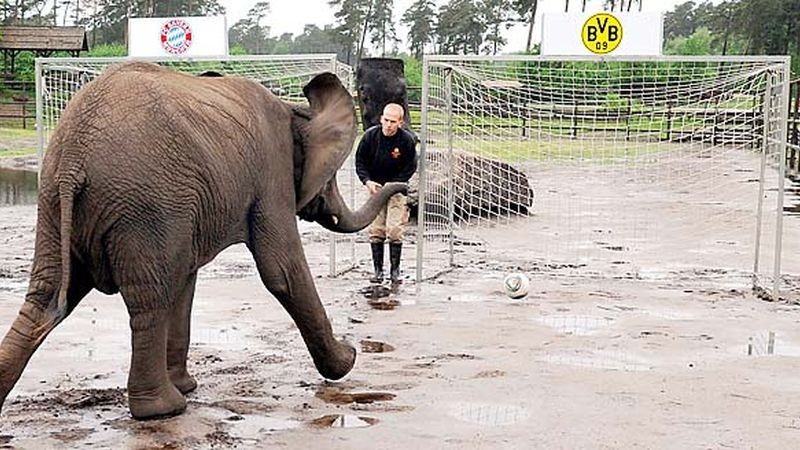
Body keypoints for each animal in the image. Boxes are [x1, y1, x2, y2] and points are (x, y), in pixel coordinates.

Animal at [0, 61, 406, 420]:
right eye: (330, 178)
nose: (402, 186)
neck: (297, 111)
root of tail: (73, 157)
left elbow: (186, 280)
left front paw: (188, 385)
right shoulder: (270, 174)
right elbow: (281, 270)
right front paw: (348, 360)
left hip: (55, 203)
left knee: (45, 298)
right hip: (145, 205)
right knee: (150, 300)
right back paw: (163, 409)